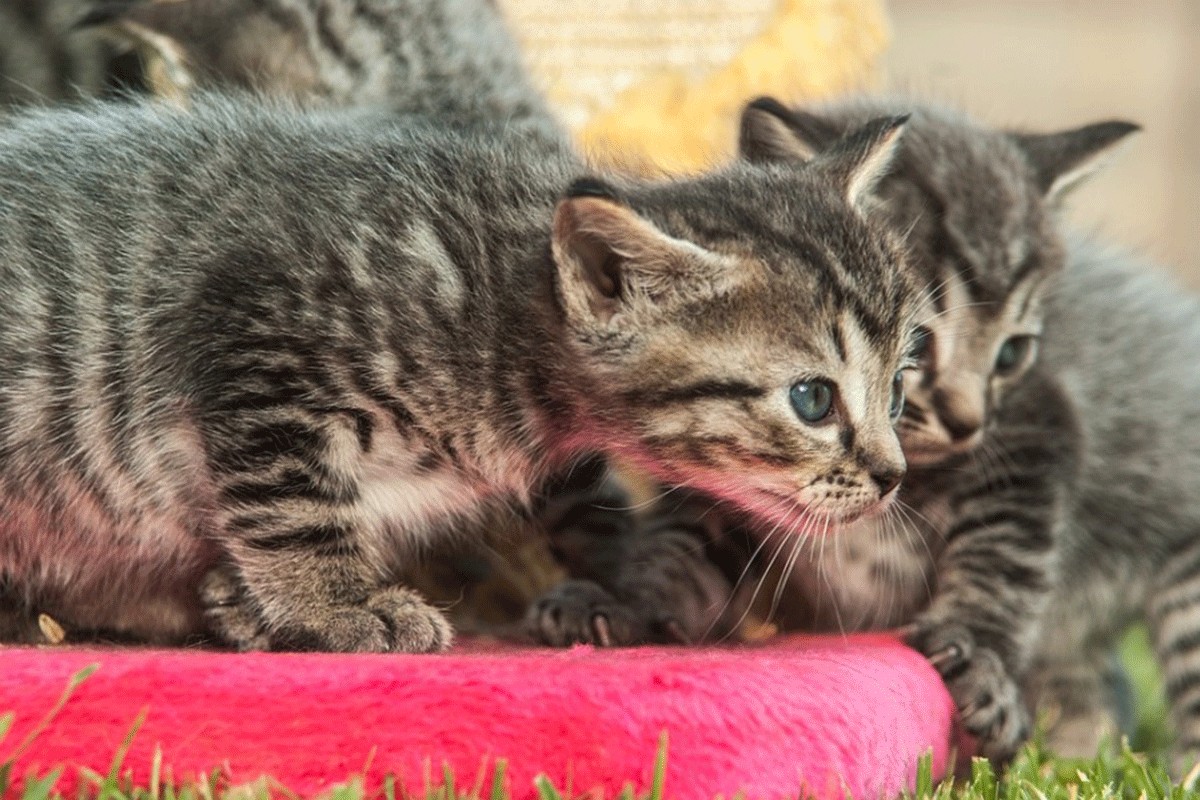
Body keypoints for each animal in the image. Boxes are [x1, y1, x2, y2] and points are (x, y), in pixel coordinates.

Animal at [0, 97, 916, 652]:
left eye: (900, 388)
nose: (892, 475)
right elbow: (291, 503)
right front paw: (335, 604)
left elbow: (593, 512)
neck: (501, 310)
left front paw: (624, 592)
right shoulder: (259, 335)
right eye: (812, 399)